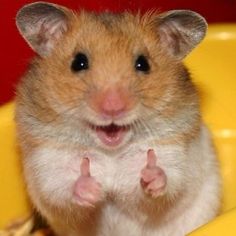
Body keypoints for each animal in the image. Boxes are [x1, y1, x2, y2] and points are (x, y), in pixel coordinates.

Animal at [14, 2, 221, 236]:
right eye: (78, 62)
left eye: (143, 64)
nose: (113, 107)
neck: (110, 152)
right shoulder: (47, 164)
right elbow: (61, 190)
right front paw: (92, 188)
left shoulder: (175, 155)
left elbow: (167, 184)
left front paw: (150, 173)